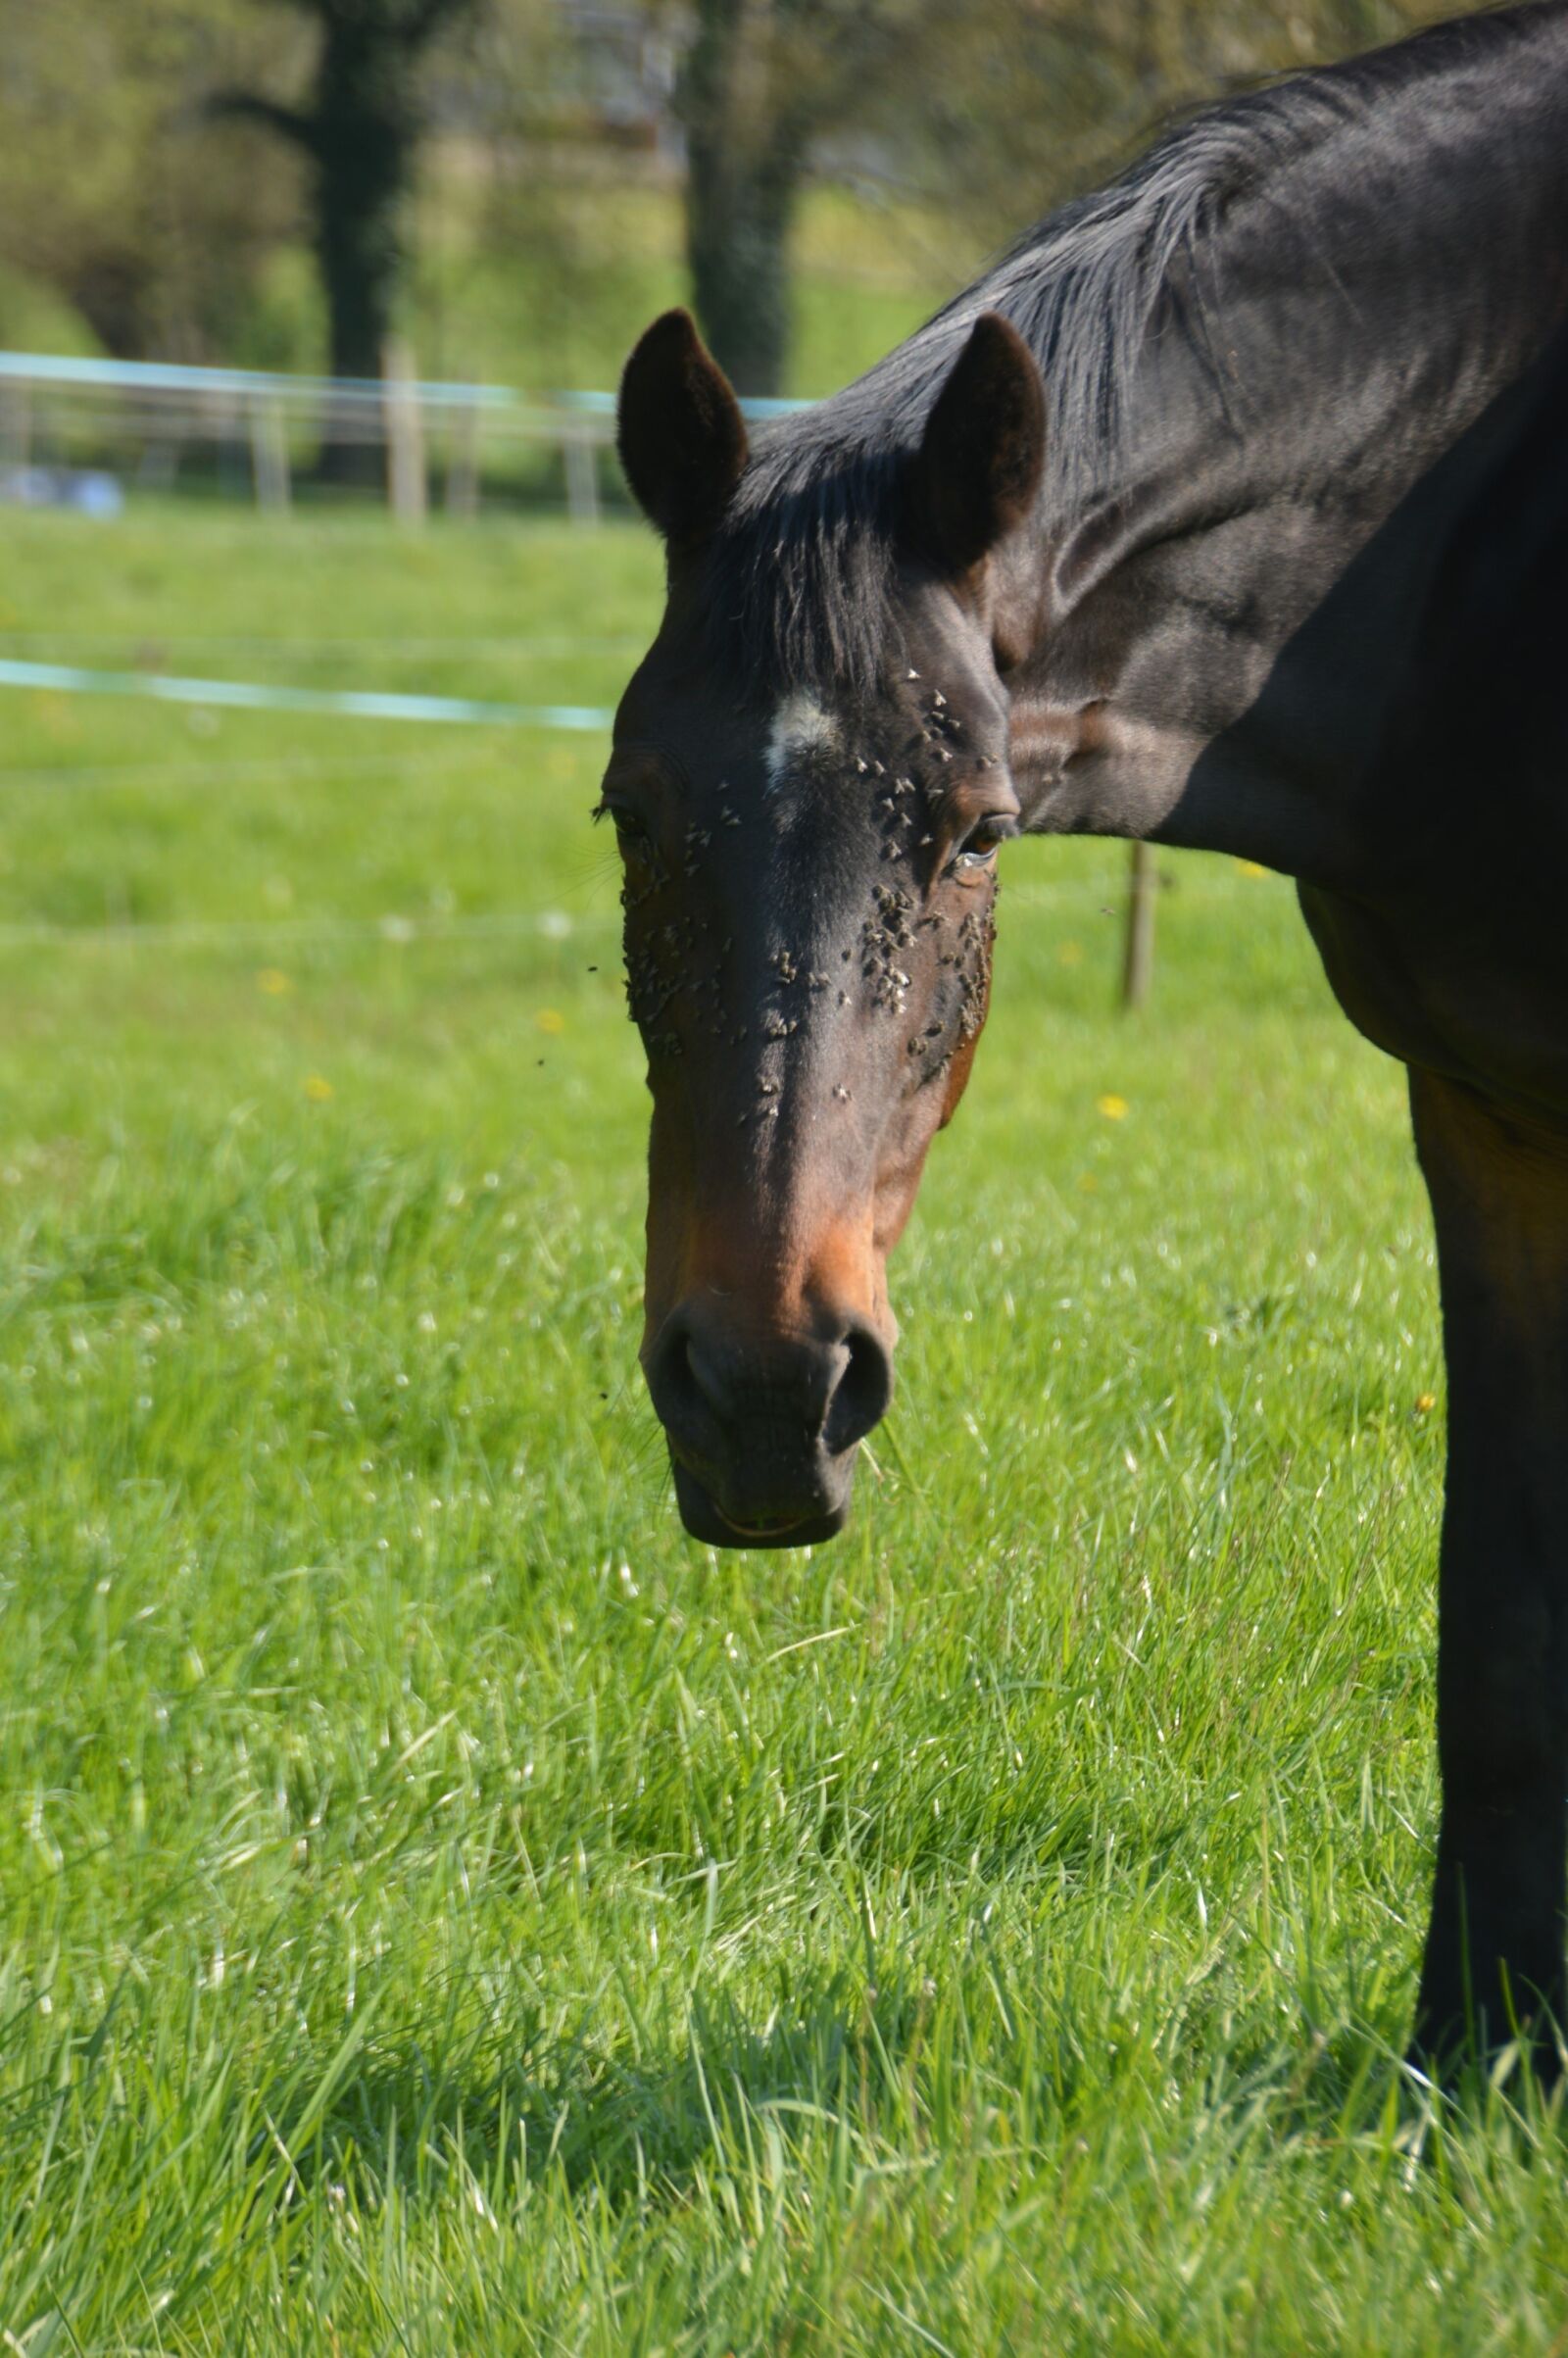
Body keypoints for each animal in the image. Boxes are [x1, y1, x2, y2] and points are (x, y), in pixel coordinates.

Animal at [606, 0, 1568, 2066]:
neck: (1486, 516)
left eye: (975, 828)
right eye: (629, 809)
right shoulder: (1489, 1112)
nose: (764, 1390)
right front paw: (1482, 2056)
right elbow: (1504, 1609)